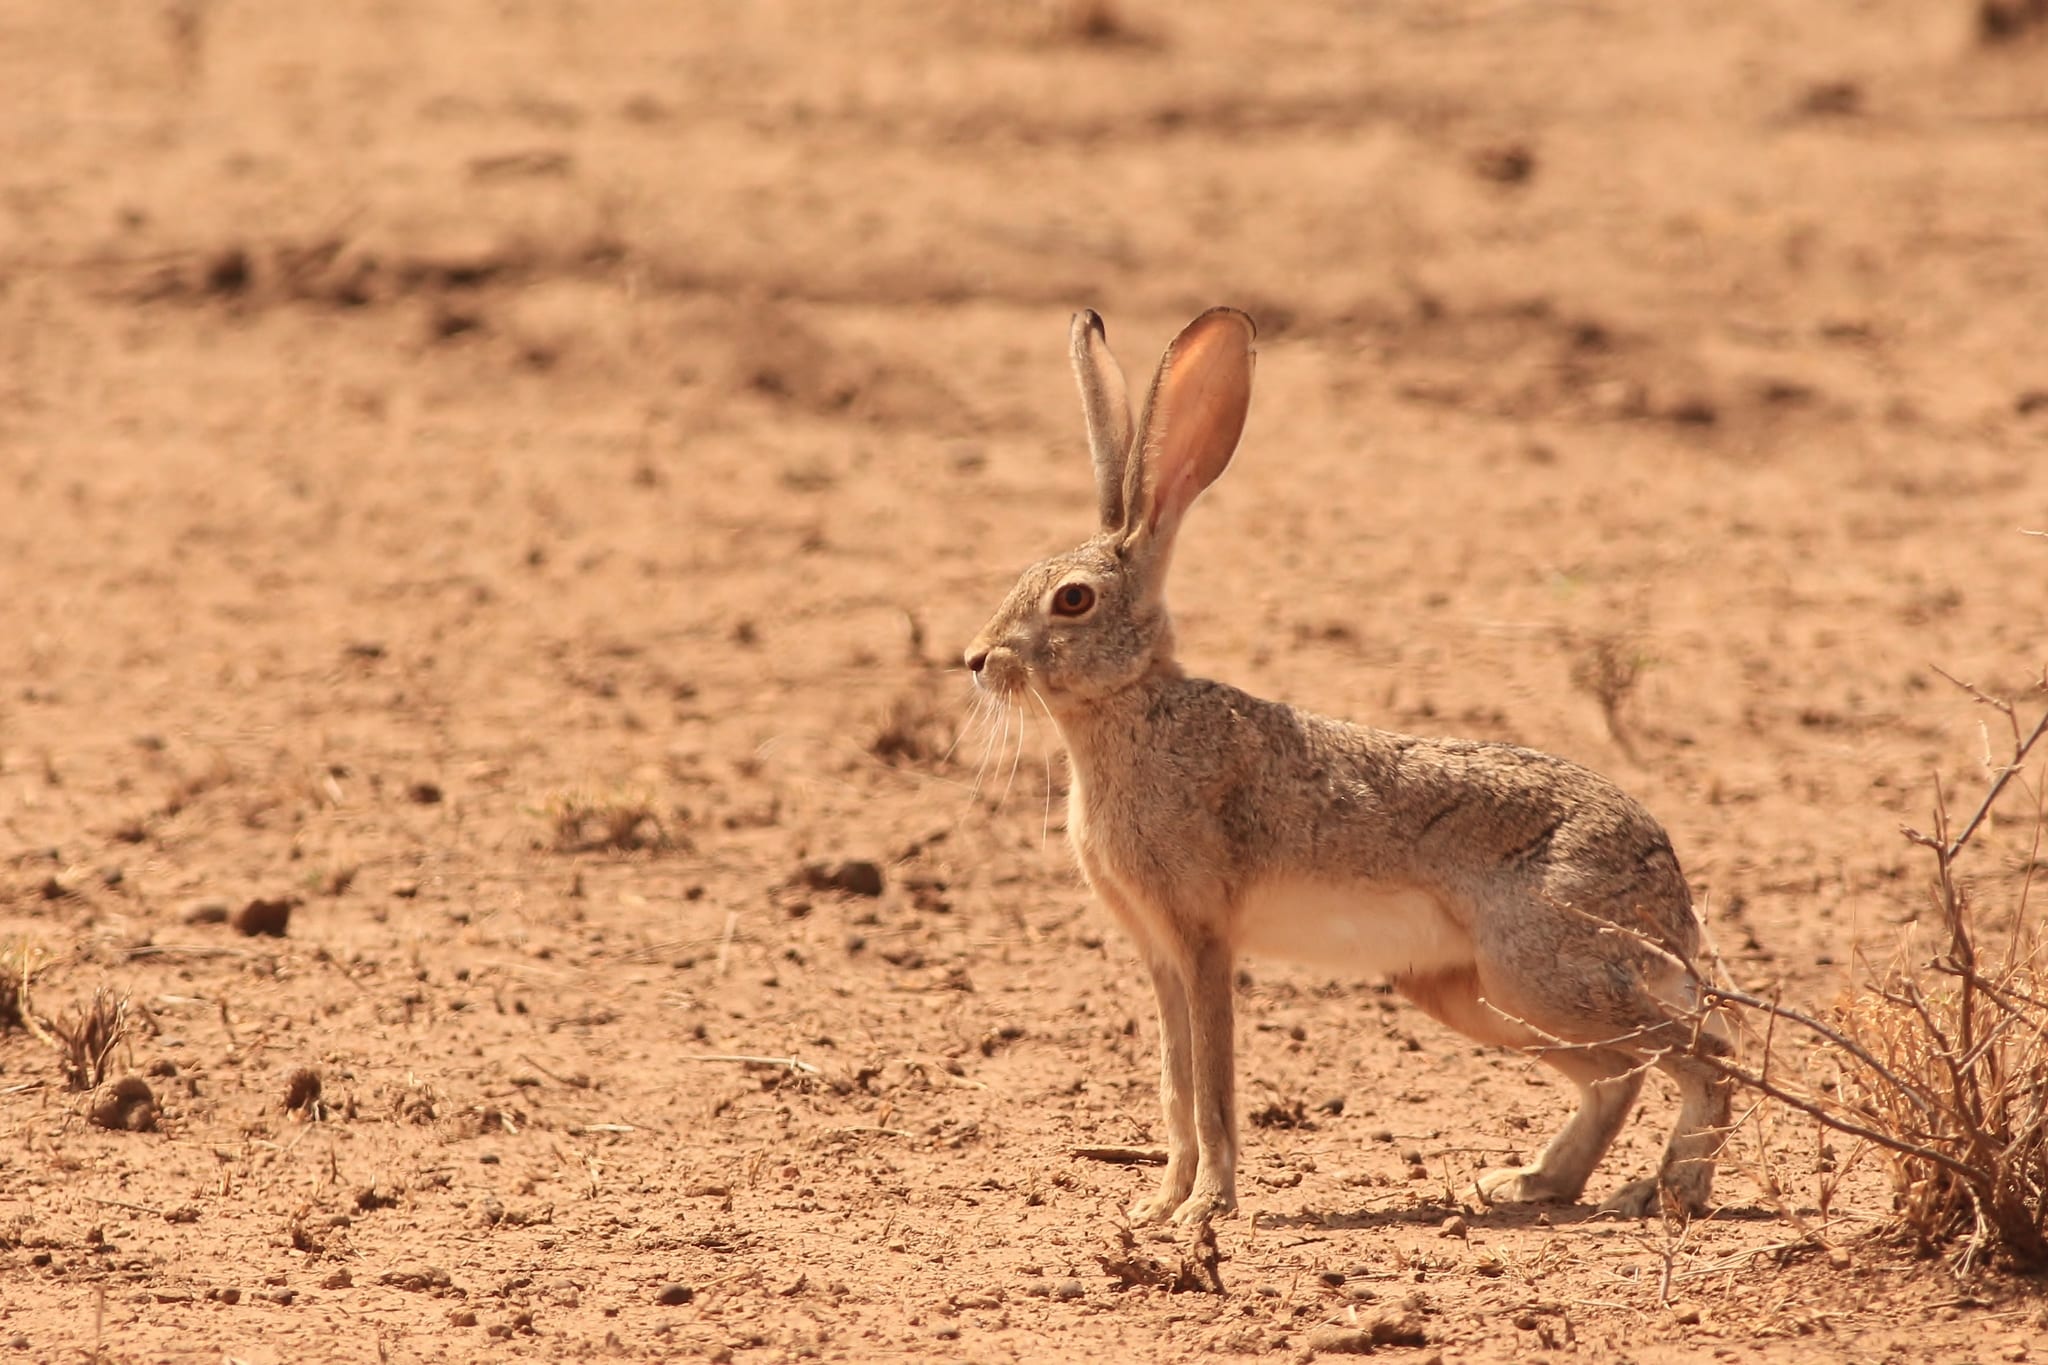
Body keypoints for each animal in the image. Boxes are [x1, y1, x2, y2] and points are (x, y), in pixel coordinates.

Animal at [965, 307, 1732, 1226]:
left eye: (1072, 599)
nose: (976, 660)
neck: (1132, 706)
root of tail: (1666, 875)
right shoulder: (1161, 953)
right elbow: (1175, 1086)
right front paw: (1157, 1206)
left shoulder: (1204, 937)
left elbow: (1211, 1085)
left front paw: (1206, 1208)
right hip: (1479, 993)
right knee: (1618, 1078)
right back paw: (1531, 1183)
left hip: (1542, 970)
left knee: (1708, 1056)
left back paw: (1669, 1189)